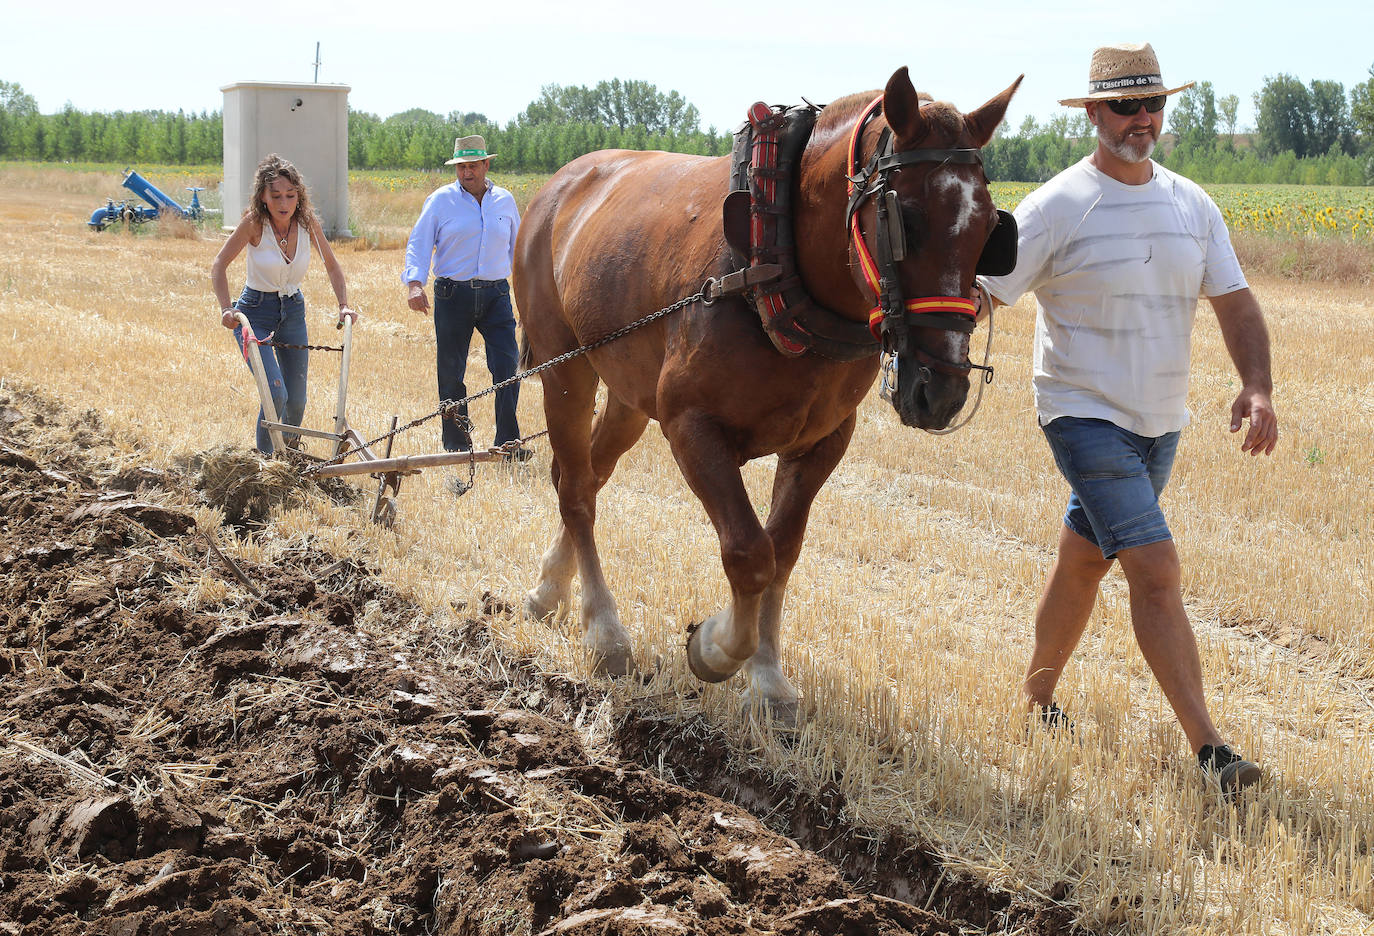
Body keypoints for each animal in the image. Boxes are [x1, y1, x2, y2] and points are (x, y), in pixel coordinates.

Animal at [516, 69, 1022, 720]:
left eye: (990, 229)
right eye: (903, 219)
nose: (941, 390)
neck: (772, 255)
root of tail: (559, 185)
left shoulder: (821, 441)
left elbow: (783, 550)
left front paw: (767, 678)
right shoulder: (691, 425)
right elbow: (749, 553)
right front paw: (715, 647)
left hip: (628, 396)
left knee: (585, 476)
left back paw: (548, 590)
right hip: (566, 370)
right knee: (577, 489)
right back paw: (604, 632)